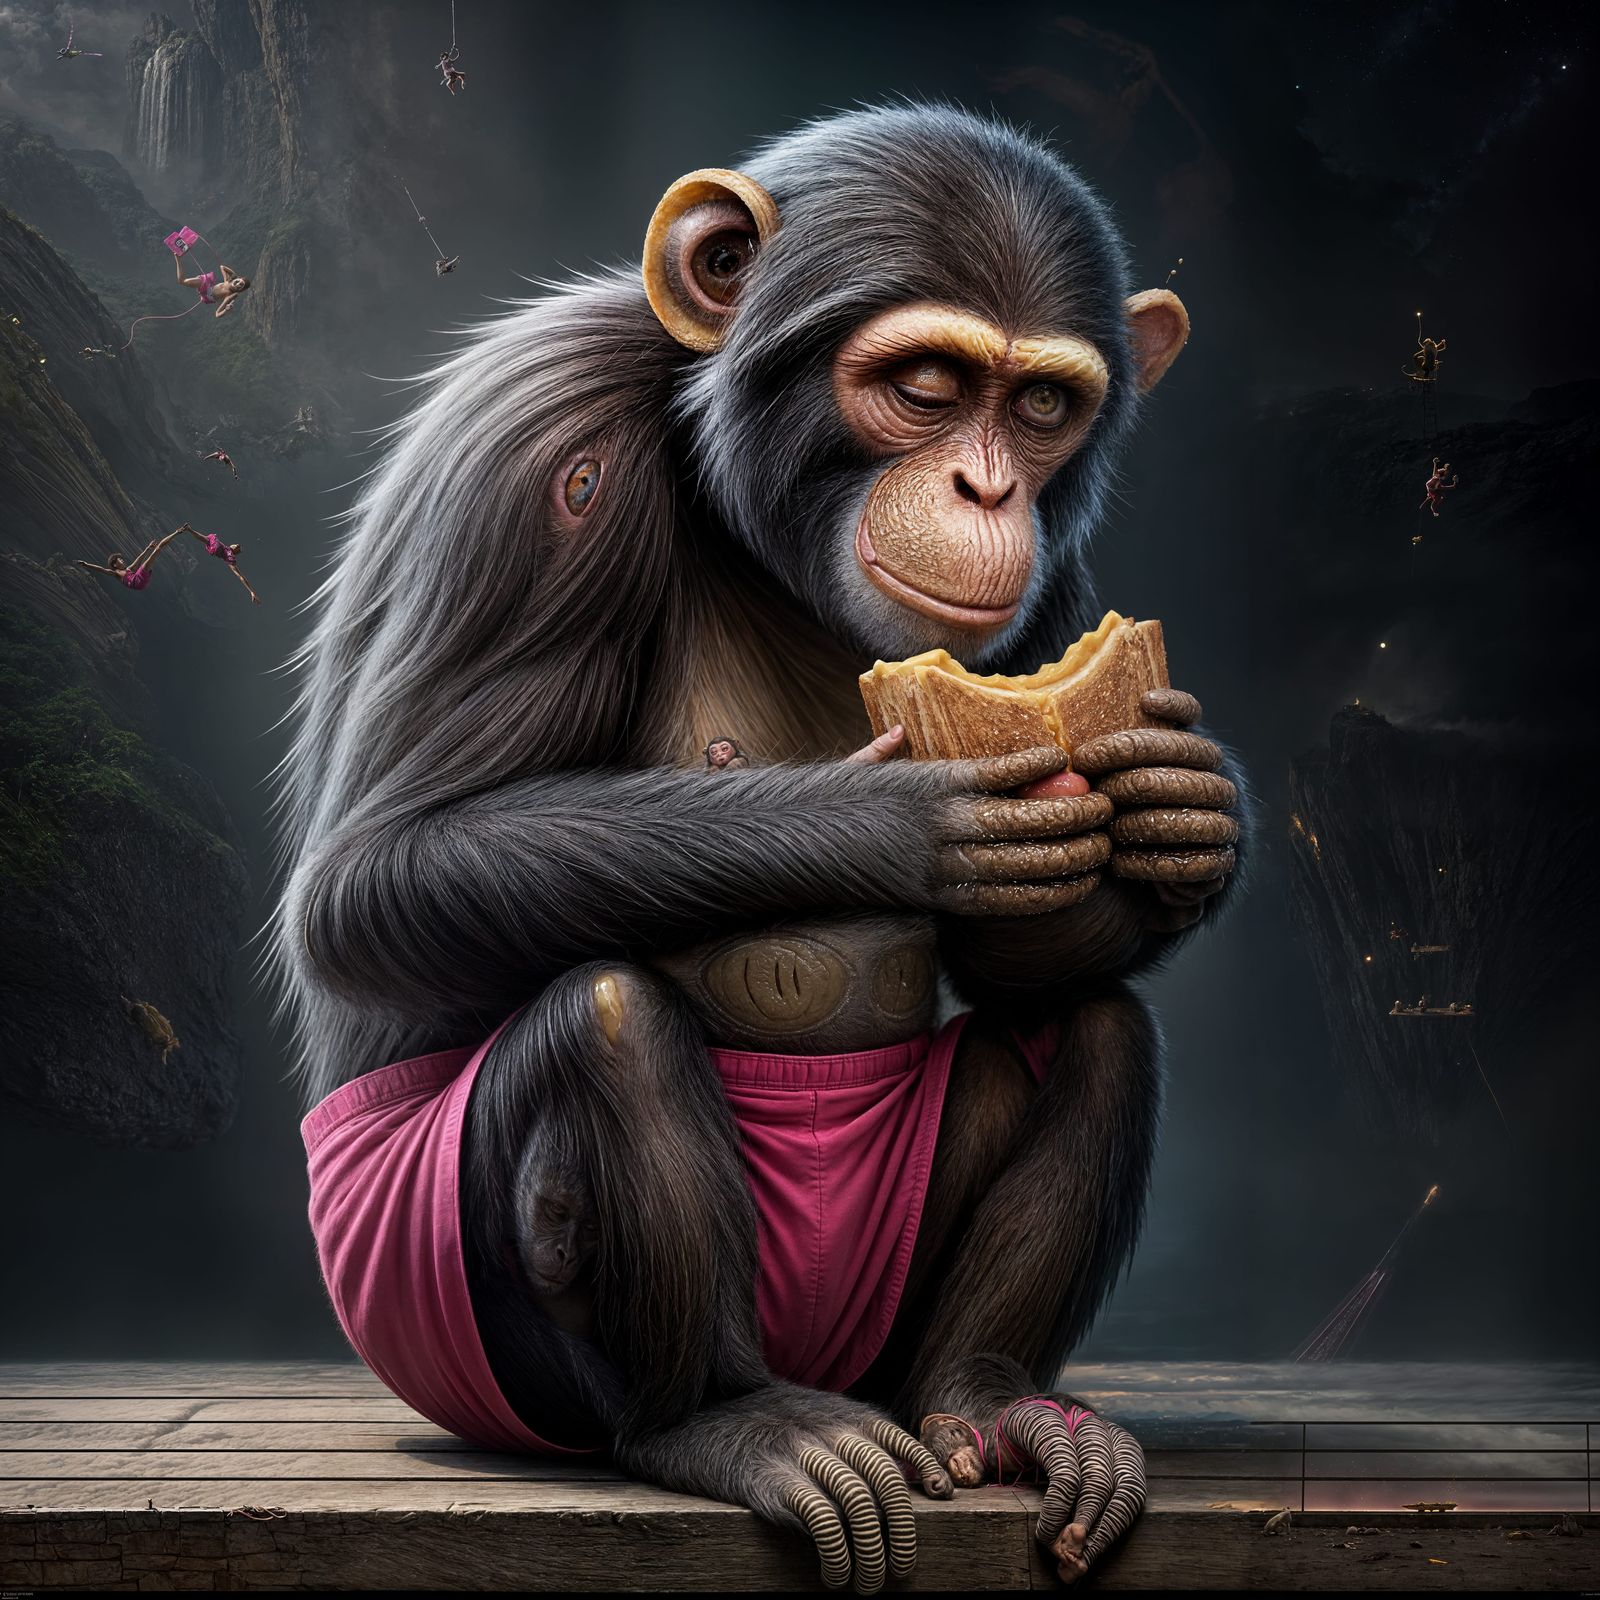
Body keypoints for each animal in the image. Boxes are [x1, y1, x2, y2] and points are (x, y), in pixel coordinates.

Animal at [277, 105, 1247, 1591]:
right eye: (923, 382)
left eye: (1040, 408)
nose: (985, 486)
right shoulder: (536, 451)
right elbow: (370, 875)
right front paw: (902, 823)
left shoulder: (1056, 592)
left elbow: (1031, 965)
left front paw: (1185, 812)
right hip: (423, 1299)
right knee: (608, 1019)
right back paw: (731, 1423)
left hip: (874, 1330)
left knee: (1091, 1024)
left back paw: (992, 1403)